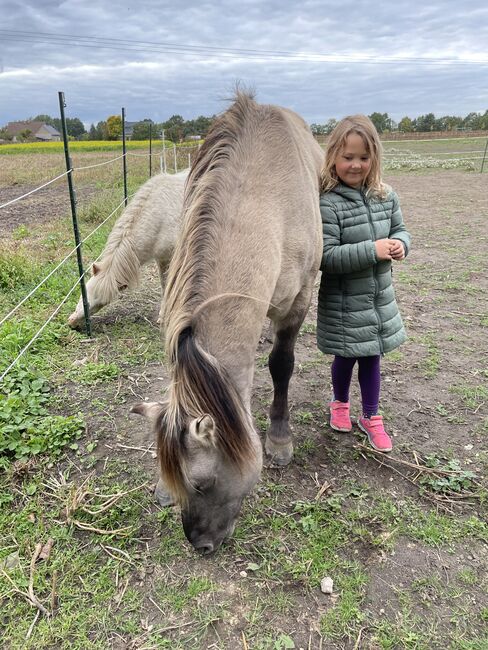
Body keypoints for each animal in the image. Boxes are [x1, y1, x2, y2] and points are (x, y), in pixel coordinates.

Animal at [68, 170, 189, 326]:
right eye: (85, 296)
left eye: (100, 304)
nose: (72, 323)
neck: (160, 216)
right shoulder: (161, 258)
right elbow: (164, 284)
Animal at [132, 92, 324, 552]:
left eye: (202, 483)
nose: (199, 544)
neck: (266, 201)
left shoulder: (299, 300)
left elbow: (282, 365)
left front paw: (279, 440)